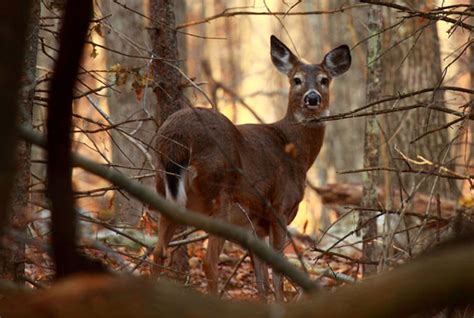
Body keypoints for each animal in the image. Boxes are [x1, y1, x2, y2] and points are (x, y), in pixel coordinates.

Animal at [153, 34, 352, 300]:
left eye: (324, 80)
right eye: (296, 79)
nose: (312, 98)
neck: (296, 153)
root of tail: (176, 139)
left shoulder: (255, 226)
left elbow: (262, 279)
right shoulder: (279, 208)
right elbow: (276, 272)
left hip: (163, 191)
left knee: (159, 253)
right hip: (219, 195)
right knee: (208, 262)